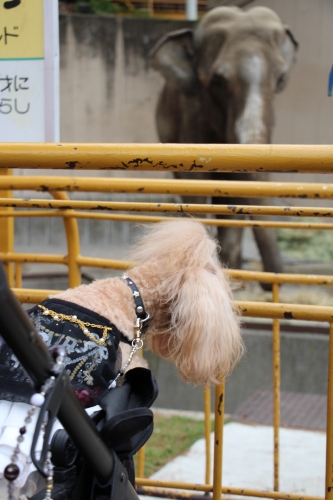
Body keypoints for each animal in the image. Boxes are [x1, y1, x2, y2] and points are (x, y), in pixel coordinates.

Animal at [149, 5, 296, 282]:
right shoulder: (191, 111)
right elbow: (194, 185)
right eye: (218, 81)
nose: (269, 280)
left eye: (281, 79)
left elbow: (236, 188)